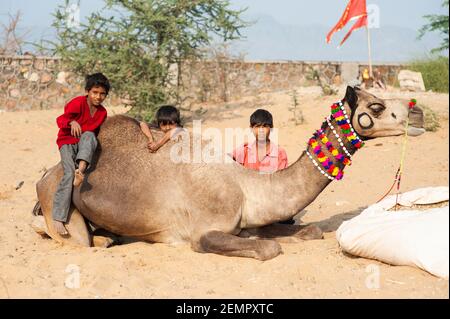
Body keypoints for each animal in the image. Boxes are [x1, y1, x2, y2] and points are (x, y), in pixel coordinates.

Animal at [31, 87, 426, 260]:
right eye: (376, 105)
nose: (417, 112)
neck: (245, 185)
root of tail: (43, 177)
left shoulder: (248, 220)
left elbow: (305, 231)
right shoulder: (204, 230)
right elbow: (267, 248)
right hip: (58, 206)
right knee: (76, 238)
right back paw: (100, 240)